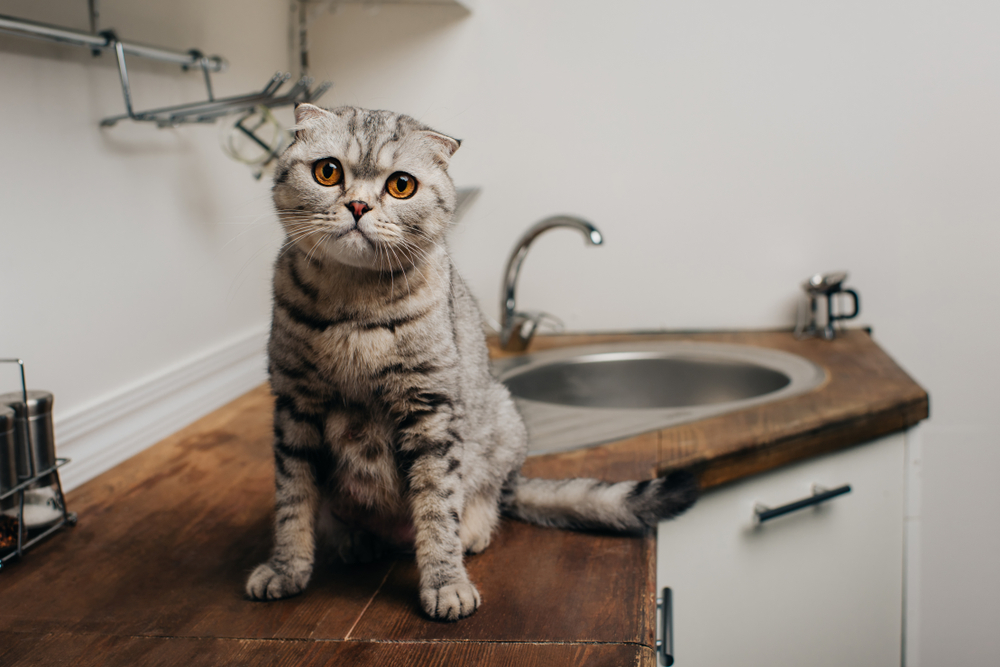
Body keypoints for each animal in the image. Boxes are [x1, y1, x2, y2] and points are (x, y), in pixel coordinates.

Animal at [245, 103, 700, 620]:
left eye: (400, 185)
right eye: (328, 172)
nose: (358, 206)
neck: (353, 308)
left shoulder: (429, 410)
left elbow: (436, 508)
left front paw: (445, 583)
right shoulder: (295, 407)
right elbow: (293, 502)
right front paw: (286, 568)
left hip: (503, 423)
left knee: (484, 502)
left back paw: (470, 533)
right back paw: (354, 539)